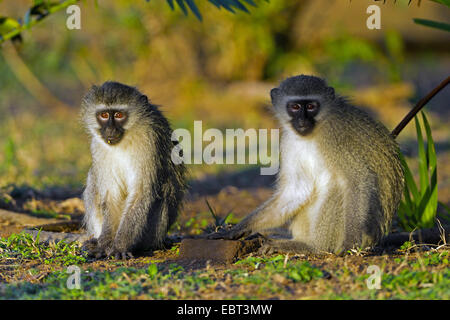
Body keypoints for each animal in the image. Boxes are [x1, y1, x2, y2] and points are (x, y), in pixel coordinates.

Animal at [81, 81, 186, 258]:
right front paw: (104, 244)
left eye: (118, 115)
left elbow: (141, 193)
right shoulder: (98, 146)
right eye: (104, 115)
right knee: (93, 178)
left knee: (164, 187)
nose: (110, 130)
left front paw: (120, 246)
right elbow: (111, 195)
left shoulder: (150, 140)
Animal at [211, 75, 404, 255]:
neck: (313, 134)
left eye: (311, 106)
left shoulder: (336, 136)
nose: (302, 121)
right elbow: (296, 190)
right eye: (295, 107)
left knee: (339, 187)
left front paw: (350, 241)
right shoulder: (289, 141)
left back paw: (312, 247)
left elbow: (358, 179)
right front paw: (238, 229)